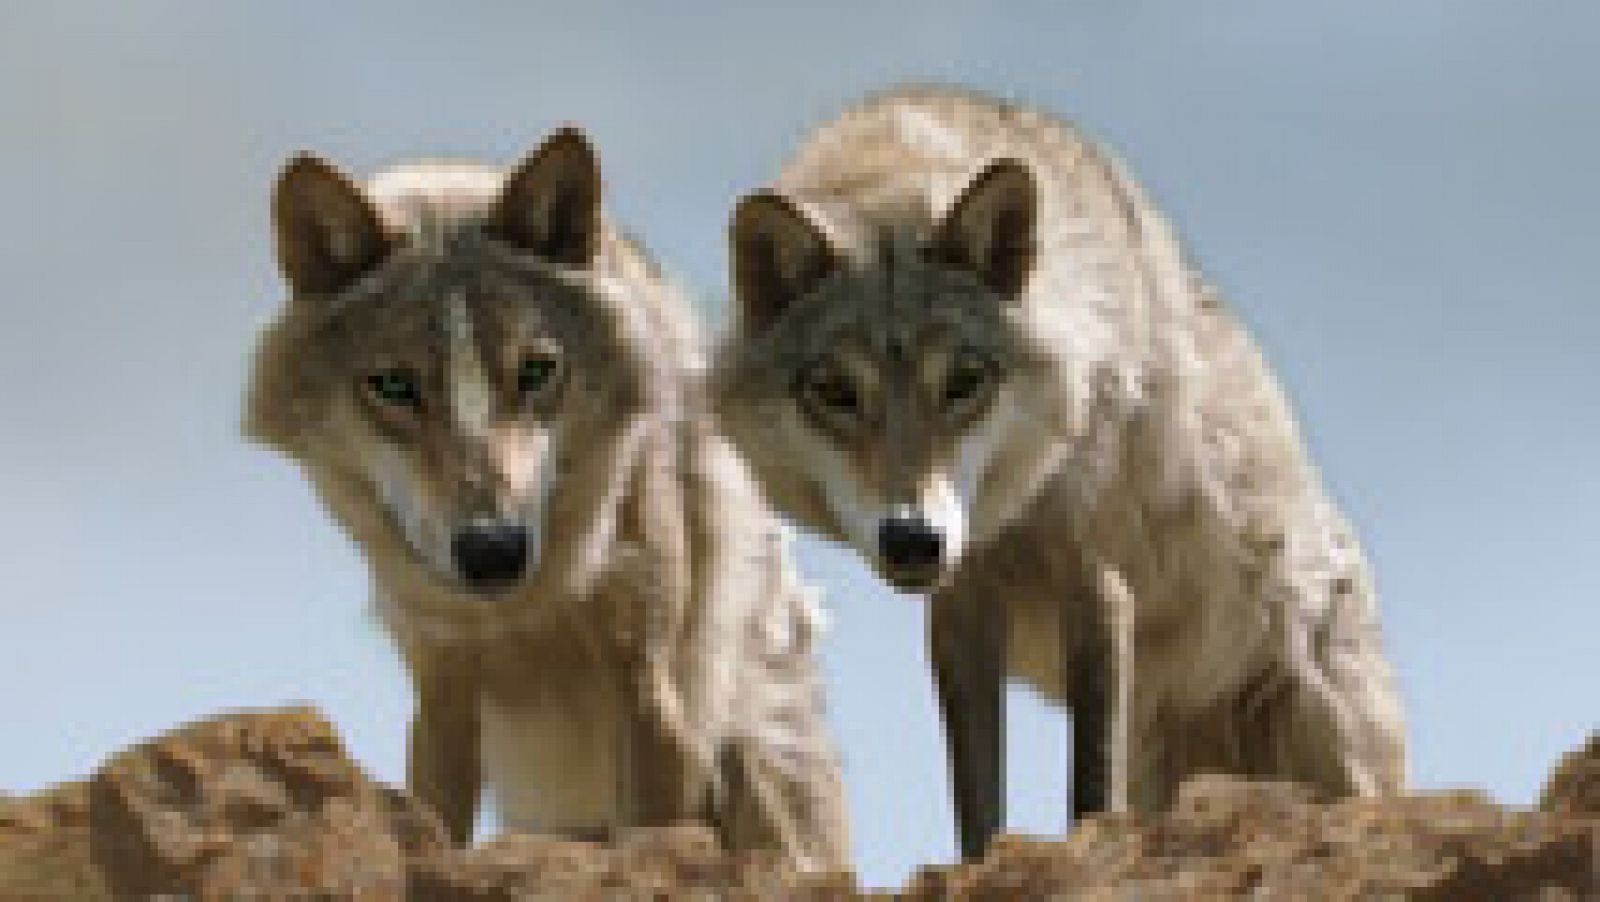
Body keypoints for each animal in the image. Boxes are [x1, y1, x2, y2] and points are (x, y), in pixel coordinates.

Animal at [245, 128, 850, 871]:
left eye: (537, 370)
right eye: (393, 386)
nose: (493, 550)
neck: (526, 610)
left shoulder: (648, 695)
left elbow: (654, 840)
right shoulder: (441, 699)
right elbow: (435, 827)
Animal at [712, 86, 1406, 858]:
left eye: (964, 381)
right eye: (835, 391)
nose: (914, 538)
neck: (1020, 510)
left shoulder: (1099, 587)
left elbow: (1089, 792)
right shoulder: (963, 608)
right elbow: (978, 809)